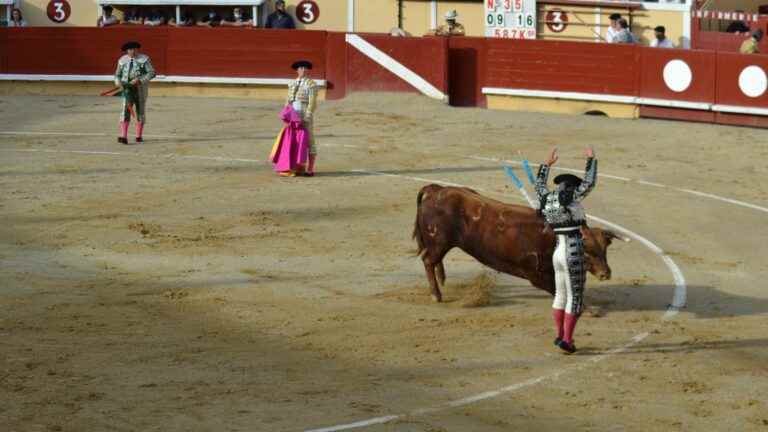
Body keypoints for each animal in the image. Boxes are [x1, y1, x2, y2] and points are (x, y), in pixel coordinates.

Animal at [414, 184, 624, 302]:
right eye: (587, 251)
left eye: (605, 249)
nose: (606, 273)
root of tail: (436, 190)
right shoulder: (535, 275)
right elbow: (556, 289)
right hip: (440, 241)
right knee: (428, 259)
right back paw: (436, 295)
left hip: (440, 243)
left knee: (433, 259)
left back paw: (442, 280)